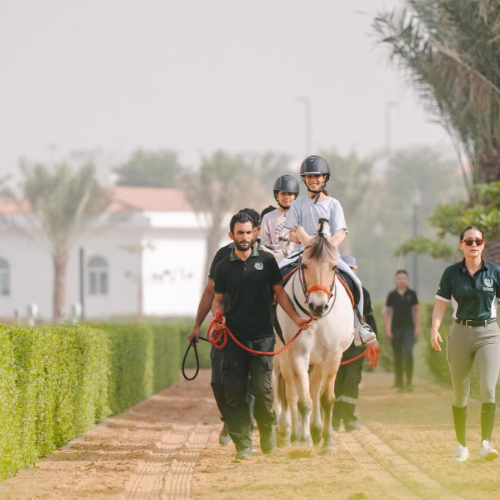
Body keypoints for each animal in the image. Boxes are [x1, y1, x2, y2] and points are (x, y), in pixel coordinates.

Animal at [276, 221, 354, 456]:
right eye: (304, 266)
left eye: (334, 267)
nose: (318, 306)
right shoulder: (298, 354)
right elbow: (303, 401)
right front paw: (303, 441)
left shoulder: (334, 355)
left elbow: (326, 399)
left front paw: (327, 442)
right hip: (284, 355)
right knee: (291, 392)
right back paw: (292, 434)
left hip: (319, 361)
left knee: (314, 387)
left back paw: (316, 430)